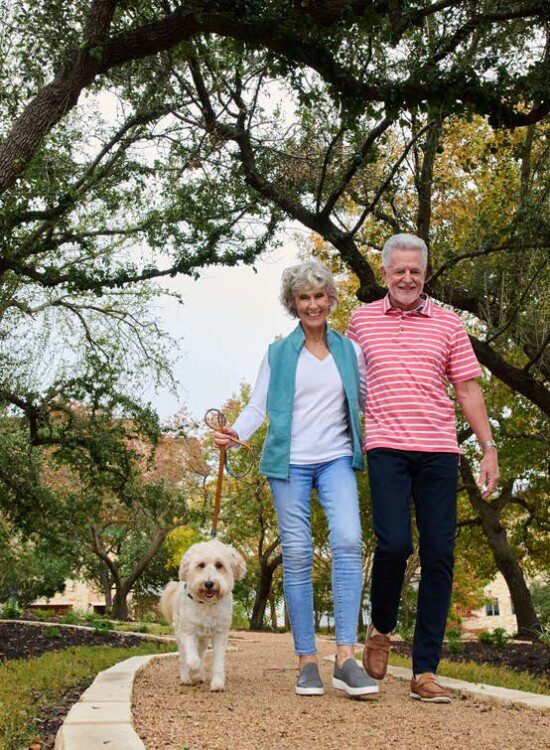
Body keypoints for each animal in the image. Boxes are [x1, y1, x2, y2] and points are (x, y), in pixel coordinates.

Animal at [160, 540, 246, 692]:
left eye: (219, 565)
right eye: (201, 565)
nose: (209, 583)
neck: (207, 604)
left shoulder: (219, 635)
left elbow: (217, 662)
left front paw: (217, 683)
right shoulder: (187, 632)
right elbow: (192, 659)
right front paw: (194, 671)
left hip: (203, 639)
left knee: (200, 652)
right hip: (180, 632)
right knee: (183, 657)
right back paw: (187, 678)